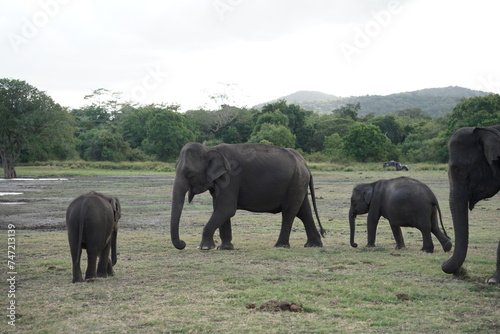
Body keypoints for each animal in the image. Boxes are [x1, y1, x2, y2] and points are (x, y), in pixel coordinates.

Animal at [170, 142, 326, 250]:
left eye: (189, 173)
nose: (183, 243)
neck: (210, 149)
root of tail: (305, 164)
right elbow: (220, 209)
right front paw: (224, 248)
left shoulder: (231, 178)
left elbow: (226, 209)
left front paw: (204, 248)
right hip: (299, 182)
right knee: (304, 211)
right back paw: (313, 245)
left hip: (295, 182)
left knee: (289, 212)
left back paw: (280, 246)